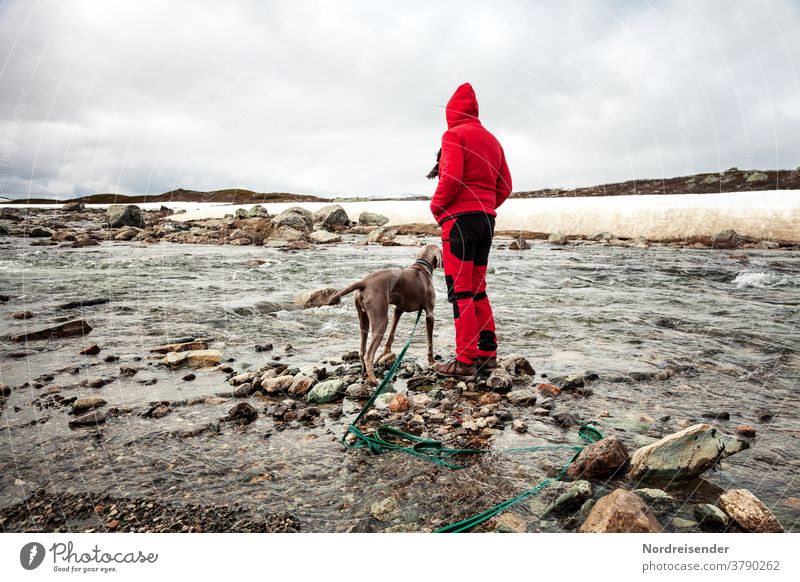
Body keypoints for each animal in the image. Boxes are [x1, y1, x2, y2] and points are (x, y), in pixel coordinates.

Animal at [332, 244, 444, 386]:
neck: (422, 267)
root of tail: (364, 282)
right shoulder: (430, 314)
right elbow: (430, 342)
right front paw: (432, 361)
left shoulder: (398, 309)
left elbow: (392, 333)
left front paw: (385, 353)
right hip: (381, 320)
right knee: (369, 355)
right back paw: (374, 380)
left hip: (363, 318)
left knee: (362, 350)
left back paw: (364, 372)